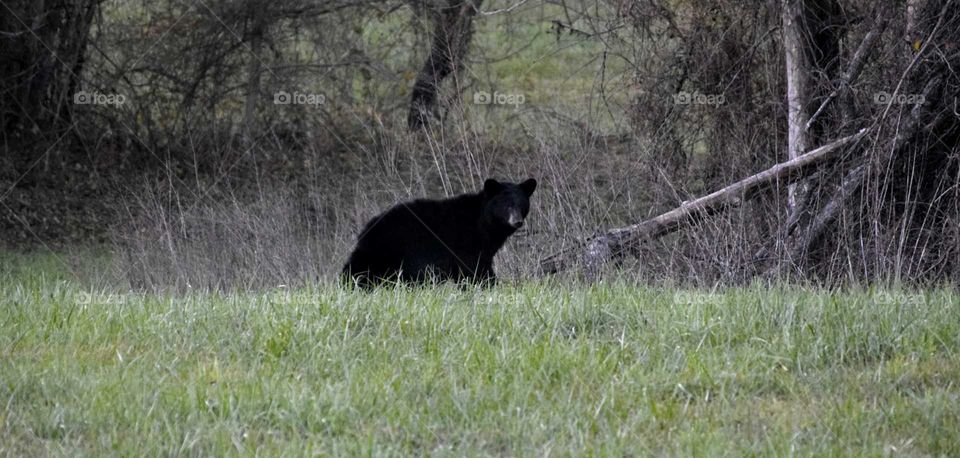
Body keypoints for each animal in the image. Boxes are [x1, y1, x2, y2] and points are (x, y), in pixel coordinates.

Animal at [342, 178, 537, 288]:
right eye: (507, 205)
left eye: (522, 204)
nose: (517, 221)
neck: (484, 224)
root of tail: (367, 229)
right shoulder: (467, 242)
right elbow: (474, 269)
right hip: (389, 248)